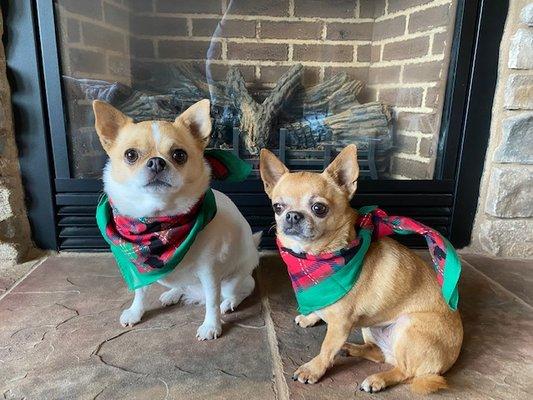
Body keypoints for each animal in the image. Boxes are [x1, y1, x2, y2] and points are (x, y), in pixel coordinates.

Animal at [93, 98, 260, 340]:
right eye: (130, 155)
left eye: (179, 155)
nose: (156, 162)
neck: (159, 222)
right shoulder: (140, 269)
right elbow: (140, 291)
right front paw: (135, 311)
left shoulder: (210, 272)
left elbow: (211, 301)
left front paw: (211, 326)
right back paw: (172, 294)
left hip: (233, 280)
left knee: (243, 288)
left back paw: (228, 303)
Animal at [260, 145, 462, 396]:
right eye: (277, 207)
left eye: (319, 208)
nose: (292, 216)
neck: (318, 256)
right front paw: (310, 317)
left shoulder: (340, 324)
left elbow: (326, 348)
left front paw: (313, 369)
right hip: (371, 327)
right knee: (378, 354)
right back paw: (351, 349)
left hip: (407, 327)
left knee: (406, 372)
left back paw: (378, 379)